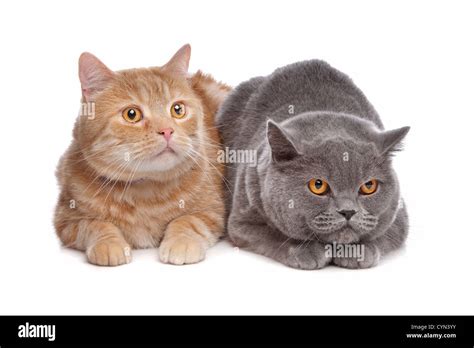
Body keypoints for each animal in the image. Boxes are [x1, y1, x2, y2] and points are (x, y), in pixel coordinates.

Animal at [54, 44, 231, 266]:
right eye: (132, 114)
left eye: (178, 110)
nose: (167, 131)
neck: (145, 193)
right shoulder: (67, 219)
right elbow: (96, 225)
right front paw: (109, 243)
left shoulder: (213, 211)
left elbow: (188, 220)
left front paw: (181, 241)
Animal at [217, 59, 410, 270]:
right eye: (318, 185)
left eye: (369, 186)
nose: (348, 211)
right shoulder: (241, 220)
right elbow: (272, 235)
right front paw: (307, 250)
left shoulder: (400, 219)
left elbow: (384, 234)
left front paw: (359, 251)